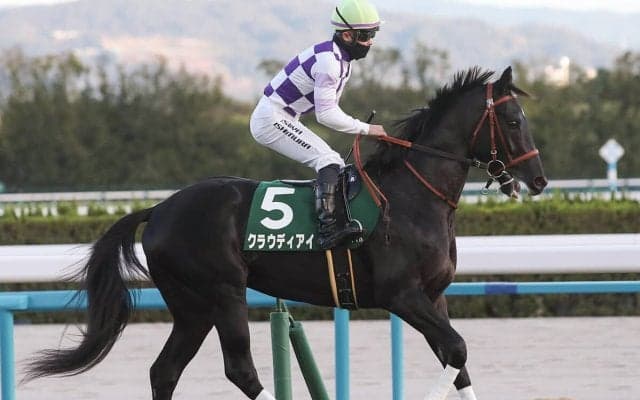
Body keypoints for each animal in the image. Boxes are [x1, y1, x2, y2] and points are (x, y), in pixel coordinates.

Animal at [25, 66, 547, 400]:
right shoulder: (401, 295)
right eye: (513, 120)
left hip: (192, 307)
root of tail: (159, 208)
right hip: (223, 292)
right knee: (238, 368)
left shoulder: (434, 297)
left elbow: (456, 362)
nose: (539, 179)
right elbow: (457, 349)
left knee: (164, 371)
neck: (412, 196)